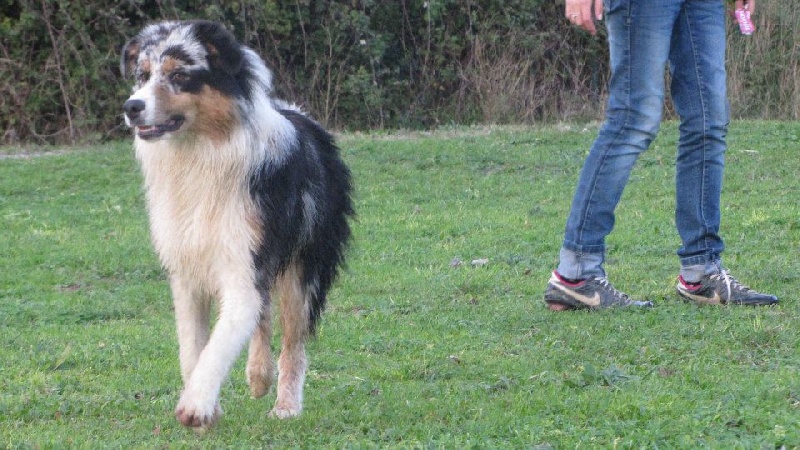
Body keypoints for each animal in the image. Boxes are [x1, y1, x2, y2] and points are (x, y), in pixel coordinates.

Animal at [120, 20, 354, 428]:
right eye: (142, 76)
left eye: (179, 75)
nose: (132, 107)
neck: (199, 156)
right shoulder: (187, 272)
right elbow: (193, 348)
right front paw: (205, 401)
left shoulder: (244, 262)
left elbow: (222, 340)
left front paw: (197, 405)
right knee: (264, 315)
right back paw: (259, 376)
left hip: (304, 268)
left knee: (293, 341)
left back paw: (285, 404)